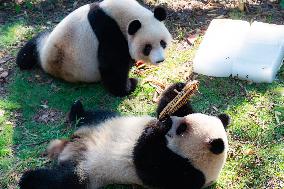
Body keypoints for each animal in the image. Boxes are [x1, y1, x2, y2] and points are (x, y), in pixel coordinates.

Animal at [16, 0, 172, 96]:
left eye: (163, 43)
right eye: (147, 47)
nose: (160, 60)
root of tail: (47, 65)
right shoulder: (108, 31)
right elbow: (112, 66)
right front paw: (129, 85)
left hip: (44, 44)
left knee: (33, 44)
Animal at [18, 82, 230, 189]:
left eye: (182, 129)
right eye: (183, 124)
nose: (169, 121)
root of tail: (70, 146)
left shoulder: (183, 173)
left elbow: (146, 161)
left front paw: (157, 128)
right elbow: (171, 107)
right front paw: (179, 90)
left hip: (88, 170)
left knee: (62, 181)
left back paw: (26, 178)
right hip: (106, 120)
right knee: (95, 115)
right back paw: (77, 109)